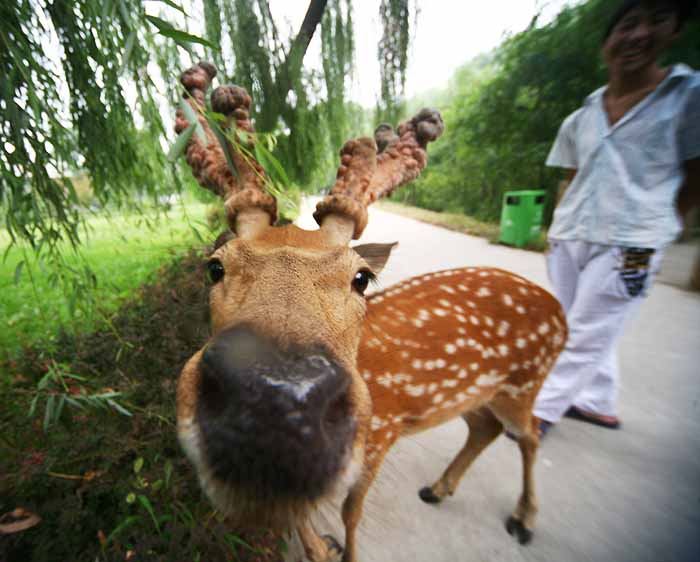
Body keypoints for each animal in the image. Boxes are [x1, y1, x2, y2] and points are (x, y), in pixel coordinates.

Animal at [172, 62, 568, 560]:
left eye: (361, 278)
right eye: (214, 267)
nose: (274, 406)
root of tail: (559, 310)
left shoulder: (380, 432)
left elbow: (350, 512)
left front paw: (346, 551)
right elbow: (301, 510)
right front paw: (321, 549)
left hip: (525, 380)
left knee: (528, 432)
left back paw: (524, 520)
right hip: (478, 390)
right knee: (485, 428)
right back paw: (438, 489)